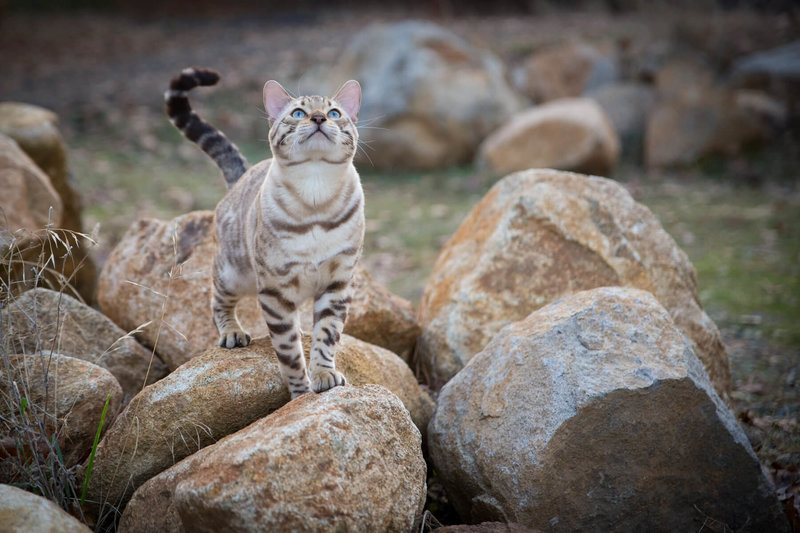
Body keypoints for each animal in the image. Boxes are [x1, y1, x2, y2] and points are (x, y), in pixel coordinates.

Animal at [166, 67, 366, 400]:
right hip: (235, 274)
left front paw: (324, 375)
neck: (316, 190)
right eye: (298, 112)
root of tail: (241, 176)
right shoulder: (275, 290)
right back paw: (232, 333)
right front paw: (300, 394)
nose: (318, 118)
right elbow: (289, 353)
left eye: (334, 113)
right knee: (217, 300)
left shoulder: (338, 283)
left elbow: (327, 335)